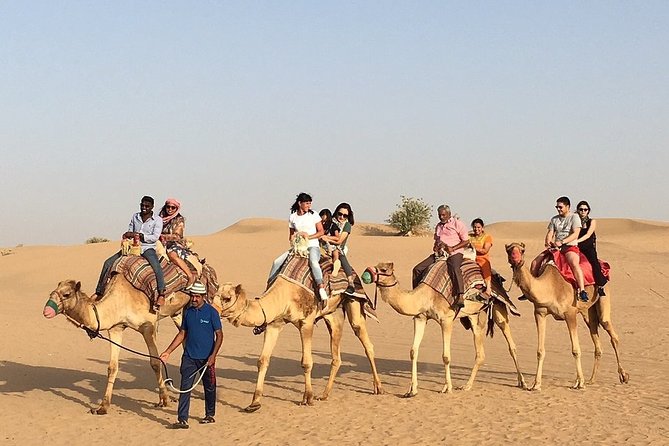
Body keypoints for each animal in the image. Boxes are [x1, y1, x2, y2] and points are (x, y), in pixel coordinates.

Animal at [42, 276, 190, 414]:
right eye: (52, 292)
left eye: (67, 294)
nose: (46, 311)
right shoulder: (116, 328)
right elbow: (112, 367)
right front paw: (102, 407)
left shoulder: (149, 327)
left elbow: (155, 362)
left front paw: (164, 399)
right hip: (176, 311)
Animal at [217, 278, 384, 412]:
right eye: (214, 295)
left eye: (227, 298)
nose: (214, 309)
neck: (283, 294)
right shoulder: (274, 324)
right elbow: (262, 360)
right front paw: (254, 403)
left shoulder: (306, 322)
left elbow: (306, 362)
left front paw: (307, 398)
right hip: (332, 314)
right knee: (336, 356)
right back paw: (324, 395)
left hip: (353, 302)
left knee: (366, 341)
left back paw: (378, 387)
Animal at [368, 262, 524, 398]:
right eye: (376, 265)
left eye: (383, 269)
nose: (367, 272)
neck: (426, 295)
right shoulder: (420, 317)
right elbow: (413, 351)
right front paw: (412, 390)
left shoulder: (446, 320)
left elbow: (446, 356)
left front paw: (448, 388)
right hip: (474, 315)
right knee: (480, 352)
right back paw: (467, 385)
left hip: (498, 306)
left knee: (510, 342)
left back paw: (522, 382)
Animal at [506, 242, 628, 392]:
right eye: (509, 250)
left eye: (522, 250)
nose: (515, 259)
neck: (551, 286)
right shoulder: (540, 312)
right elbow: (540, 351)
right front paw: (536, 385)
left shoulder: (570, 314)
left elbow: (576, 350)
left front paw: (579, 383)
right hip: (587, 312)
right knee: (595, 333)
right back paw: (591, 380)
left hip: (603, 295)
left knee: (611, 332)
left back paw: (623, 376)